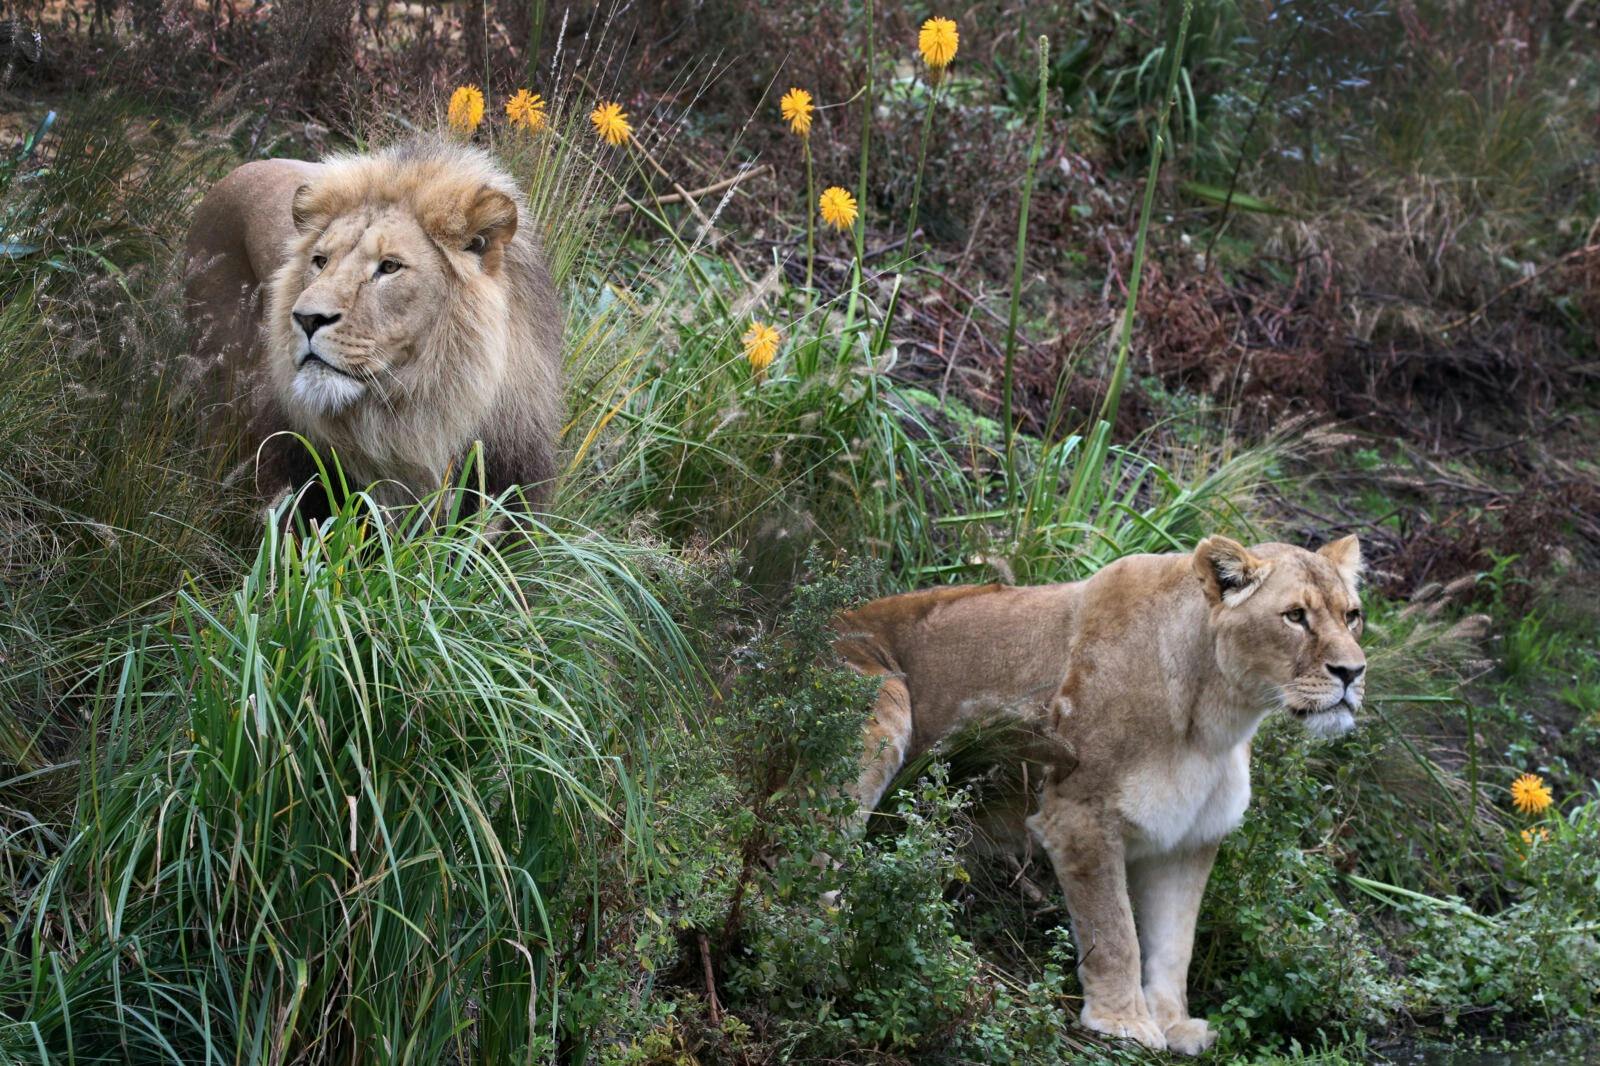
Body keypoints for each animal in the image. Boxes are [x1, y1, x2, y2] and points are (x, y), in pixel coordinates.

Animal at [832, 535, 1367, 1055]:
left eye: (1352, 615)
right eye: (1295, 616)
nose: (1353, 672)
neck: (1215, 722)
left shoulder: (1188, 840)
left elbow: (1175, 942)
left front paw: (1173, 1024)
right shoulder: (1080, 815)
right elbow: (1114, 931)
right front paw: (1123, 1022)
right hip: (884, 700)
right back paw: (846, 928)